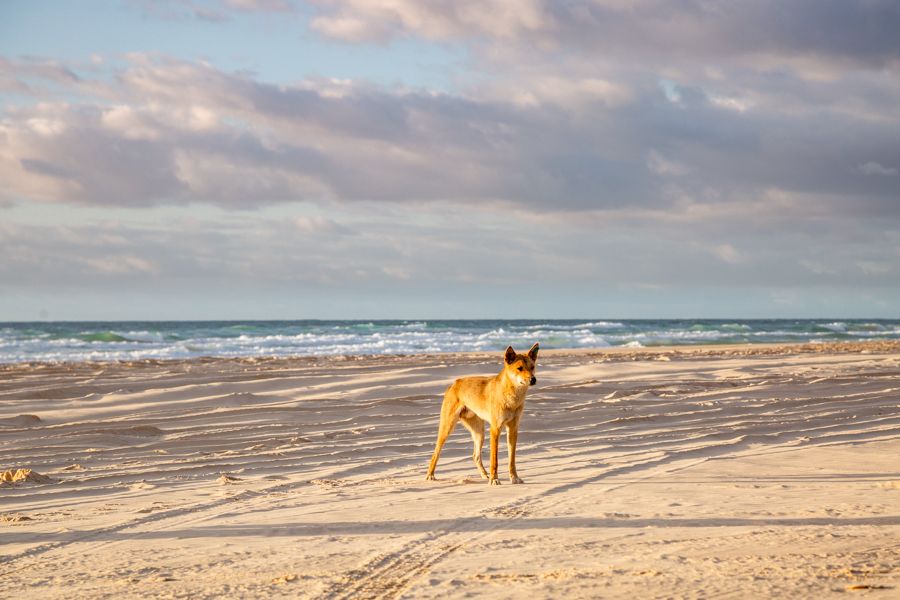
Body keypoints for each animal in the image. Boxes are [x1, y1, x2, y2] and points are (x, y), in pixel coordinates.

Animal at [426, 340, 536, 486]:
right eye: (520, 368)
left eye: (532, 367)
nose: (533, 379)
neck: (512, 397)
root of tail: (455, 383)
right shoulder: (495, 429)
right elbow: (494, 460)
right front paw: (494, 479)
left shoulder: (513, 429)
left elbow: (511, 459)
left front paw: (514, 478)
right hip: (447, 428)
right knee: (436, 452)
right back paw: (430, 475)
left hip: (479, 433)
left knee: (476, 456)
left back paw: (485, 475)